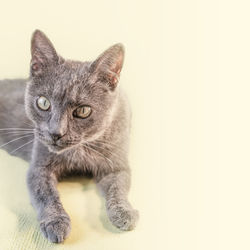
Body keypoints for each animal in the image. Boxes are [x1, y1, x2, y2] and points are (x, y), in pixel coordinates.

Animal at [0, 30, 139, 243]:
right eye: (43, 102)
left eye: (83, 110)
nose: (56, 132)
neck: (78, 152)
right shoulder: (38, 167)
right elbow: (45, 195)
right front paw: (56, 222)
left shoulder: (116, 165)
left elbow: (119, 188)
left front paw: (125, 213)